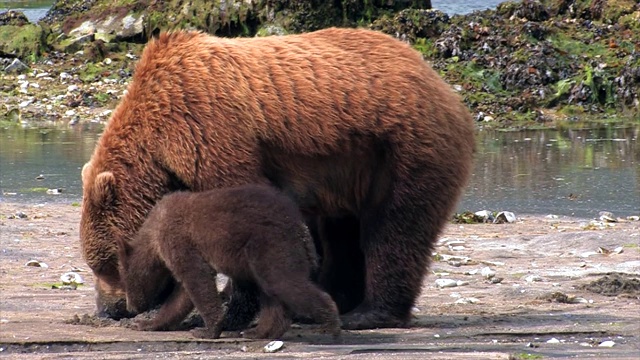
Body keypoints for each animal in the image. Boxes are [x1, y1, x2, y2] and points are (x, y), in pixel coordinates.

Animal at [80, 26, 476, 330]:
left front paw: (229, 311)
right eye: (96, 264)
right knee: (339, 232)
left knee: (394, 228)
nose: (112, 310)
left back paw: (369, 313)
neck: (160, 146)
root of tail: (440, 83)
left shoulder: (210, 133)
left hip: (402, 149)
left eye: (107, 264)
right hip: (346, 170)